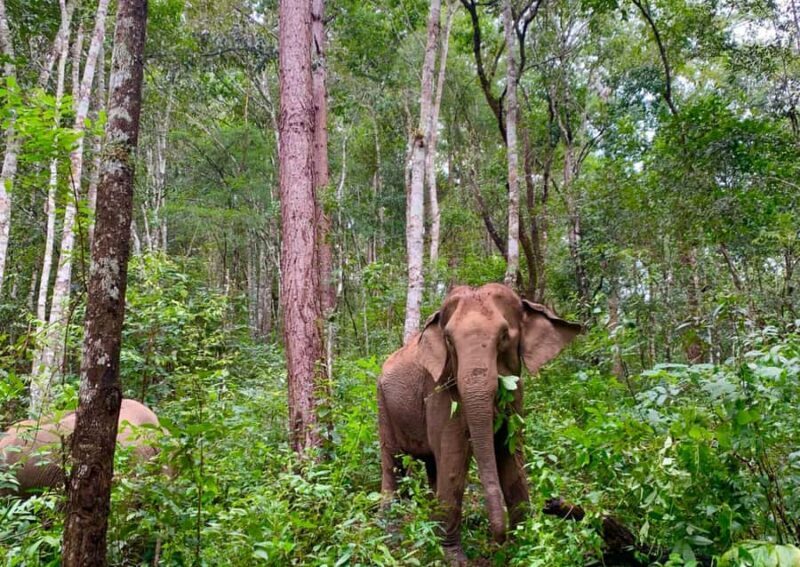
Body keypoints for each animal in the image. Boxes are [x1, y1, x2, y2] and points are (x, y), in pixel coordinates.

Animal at [378, 283, 581, 563]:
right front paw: (454, 559)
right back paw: (391, 532)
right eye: (449, 340)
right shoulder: (439, 388)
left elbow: (511, 453)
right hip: (382, 406)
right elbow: (454, 457)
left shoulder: (516, 394)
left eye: (504, 335)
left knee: (432, 465)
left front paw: (523, 546)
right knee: (393, 463)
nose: (498, 541)